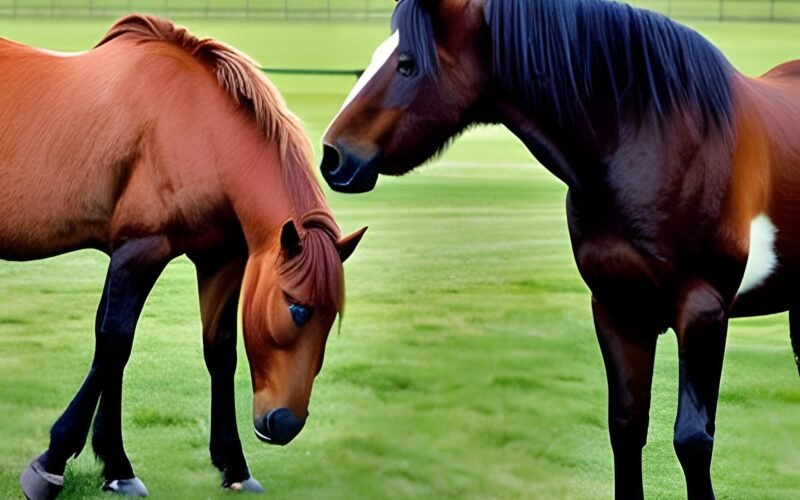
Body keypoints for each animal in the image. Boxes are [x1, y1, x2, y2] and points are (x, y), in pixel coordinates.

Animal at [0, 14, 366, 499]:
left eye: (331, 320)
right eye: (297, 309)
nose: (285, 424)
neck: (195, 127)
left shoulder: (219, 261)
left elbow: (218, 351)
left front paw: (227, 464)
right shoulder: (140, 251)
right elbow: (114, 344)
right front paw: (54, 461)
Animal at [320, 0, 800, 497]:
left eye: (408, 64)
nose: (332, 156)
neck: (654, 144)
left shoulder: (704, 311)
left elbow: (692, 440)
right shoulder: (616, 309)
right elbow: (626, 429)